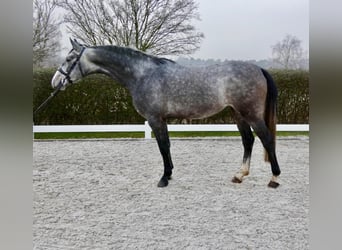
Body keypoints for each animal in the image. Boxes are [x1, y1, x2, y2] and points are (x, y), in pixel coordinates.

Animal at [50, 38, 280, 188]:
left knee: (266, 139)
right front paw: (168, 175)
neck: (143, 74)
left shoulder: (155, 119)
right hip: (238, 114)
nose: (55, 82)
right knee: (248, 140)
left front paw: (164, 178)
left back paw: (274, 179)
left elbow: (162, 147)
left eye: (69, 58)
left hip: (251, 114)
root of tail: (259, 69)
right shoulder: (162, 120)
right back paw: (239, 175)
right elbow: (167, 146)